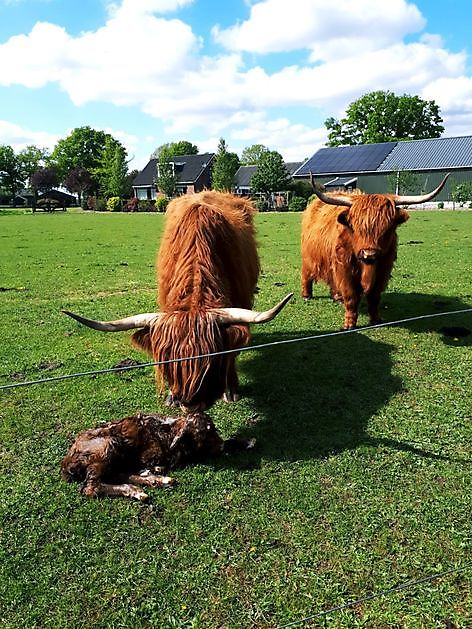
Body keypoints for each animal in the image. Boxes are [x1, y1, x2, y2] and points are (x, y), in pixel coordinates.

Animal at [62, 191, 292, 412]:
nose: (190, 404)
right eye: (168, 362)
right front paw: (171, 396)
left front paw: (231, 390)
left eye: (212, 361)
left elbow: (231, 353)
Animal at [62, 410, 254, 502]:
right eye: (203, 432)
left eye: (213, 428)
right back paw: (141, 488)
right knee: (91, 487)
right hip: (106, 447)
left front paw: (247, 442)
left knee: (118, 474)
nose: (219, 446)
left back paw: (155, 481)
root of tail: (67, 463)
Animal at [300, 173, 448, 328]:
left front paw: (376, 319)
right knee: (306, 274)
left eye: (387, 229)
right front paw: (349, 323)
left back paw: (337, 297)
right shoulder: (345, 269)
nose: (369, 254)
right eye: (355, 227)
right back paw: (306, 295)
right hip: (308, 258)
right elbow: (351, 296)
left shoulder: (383, 270)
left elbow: (374, 297)